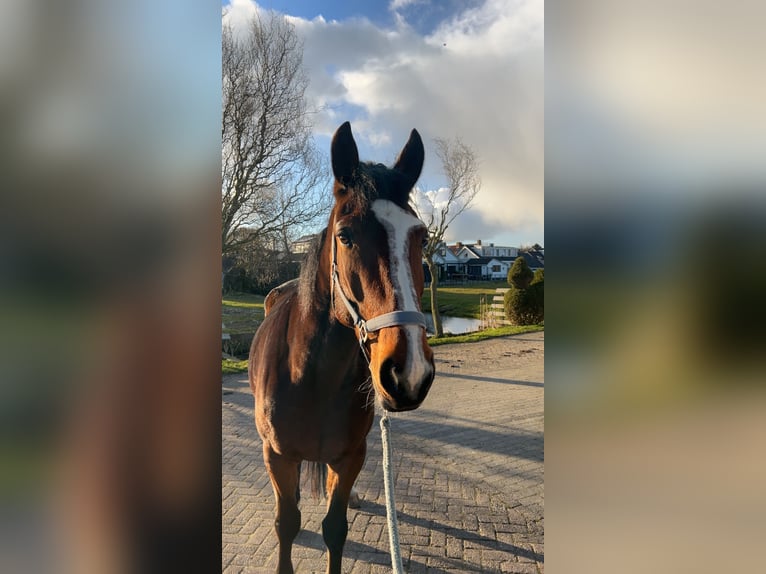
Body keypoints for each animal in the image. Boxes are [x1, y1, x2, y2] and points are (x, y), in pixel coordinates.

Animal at [249, 122, 436, 574]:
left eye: (421, 237)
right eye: (345, 235)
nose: (409, 372)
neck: (312, 377)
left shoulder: (352, 455)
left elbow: (335, 528)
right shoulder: (276, 456)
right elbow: (286, 524)